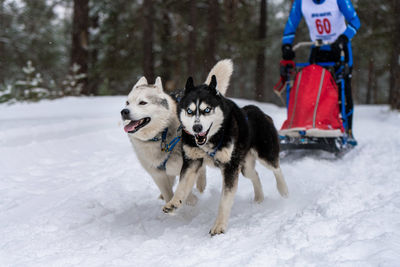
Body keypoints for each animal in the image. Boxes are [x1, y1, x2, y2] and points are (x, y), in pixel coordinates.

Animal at [122, 59, 234, 204]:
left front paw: (190, 200)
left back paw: (201, 185)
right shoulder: (158, 175)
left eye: (142, 103)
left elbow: (186, 186)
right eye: (127, 103)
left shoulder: (186, 166)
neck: (160, 135)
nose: (124, 112)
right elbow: (169, 194)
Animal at [164, 75, 290, 234]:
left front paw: (219, 226)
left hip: (265, 155)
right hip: (244, 167)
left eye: (207, 109)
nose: (197, 127)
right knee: (255, 174)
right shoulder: (192, 161)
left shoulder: (230, 168)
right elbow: (182, 185)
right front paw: (174, 202)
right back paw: (259, 197)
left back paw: (284, 190)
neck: (212, 139)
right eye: (189, 111)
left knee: (277, 168)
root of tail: (261, 112)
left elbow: (224, 201)